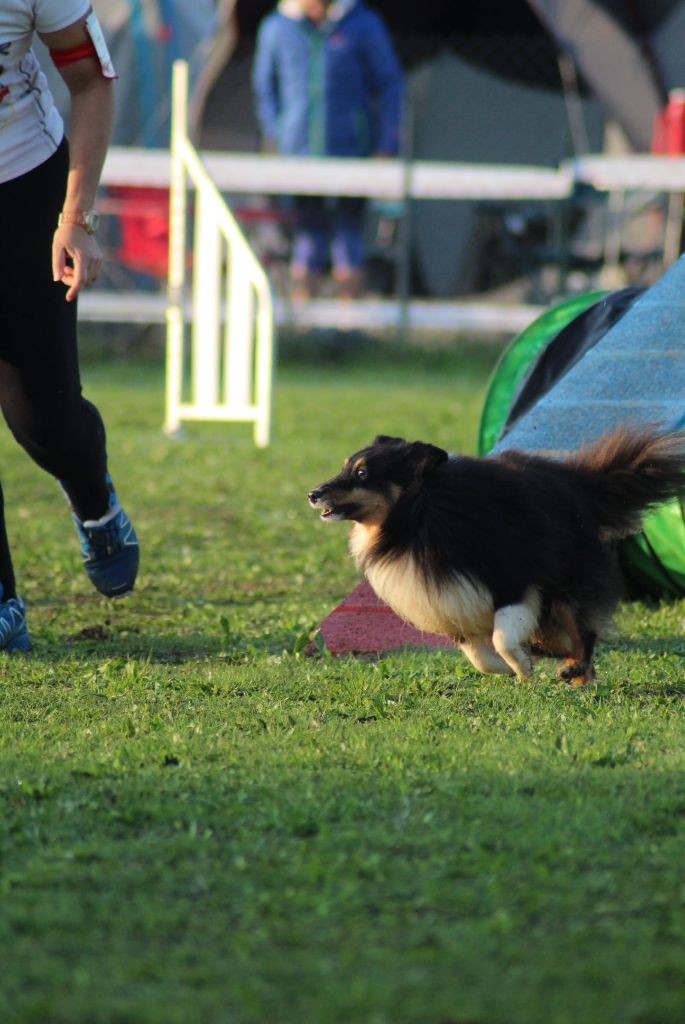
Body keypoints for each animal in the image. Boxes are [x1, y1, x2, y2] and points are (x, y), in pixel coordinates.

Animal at [309, 428, 683, 684]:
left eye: (362, 473)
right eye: (345, 467)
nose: (313, 493)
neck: (420, 514)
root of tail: (577, 483)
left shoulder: (513, 578)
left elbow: (502, 637)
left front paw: (523, 668)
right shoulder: (450, 602)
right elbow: (479, 656)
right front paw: (511, 669)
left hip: (567, 575)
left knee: (583, 629)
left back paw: (578, 673)